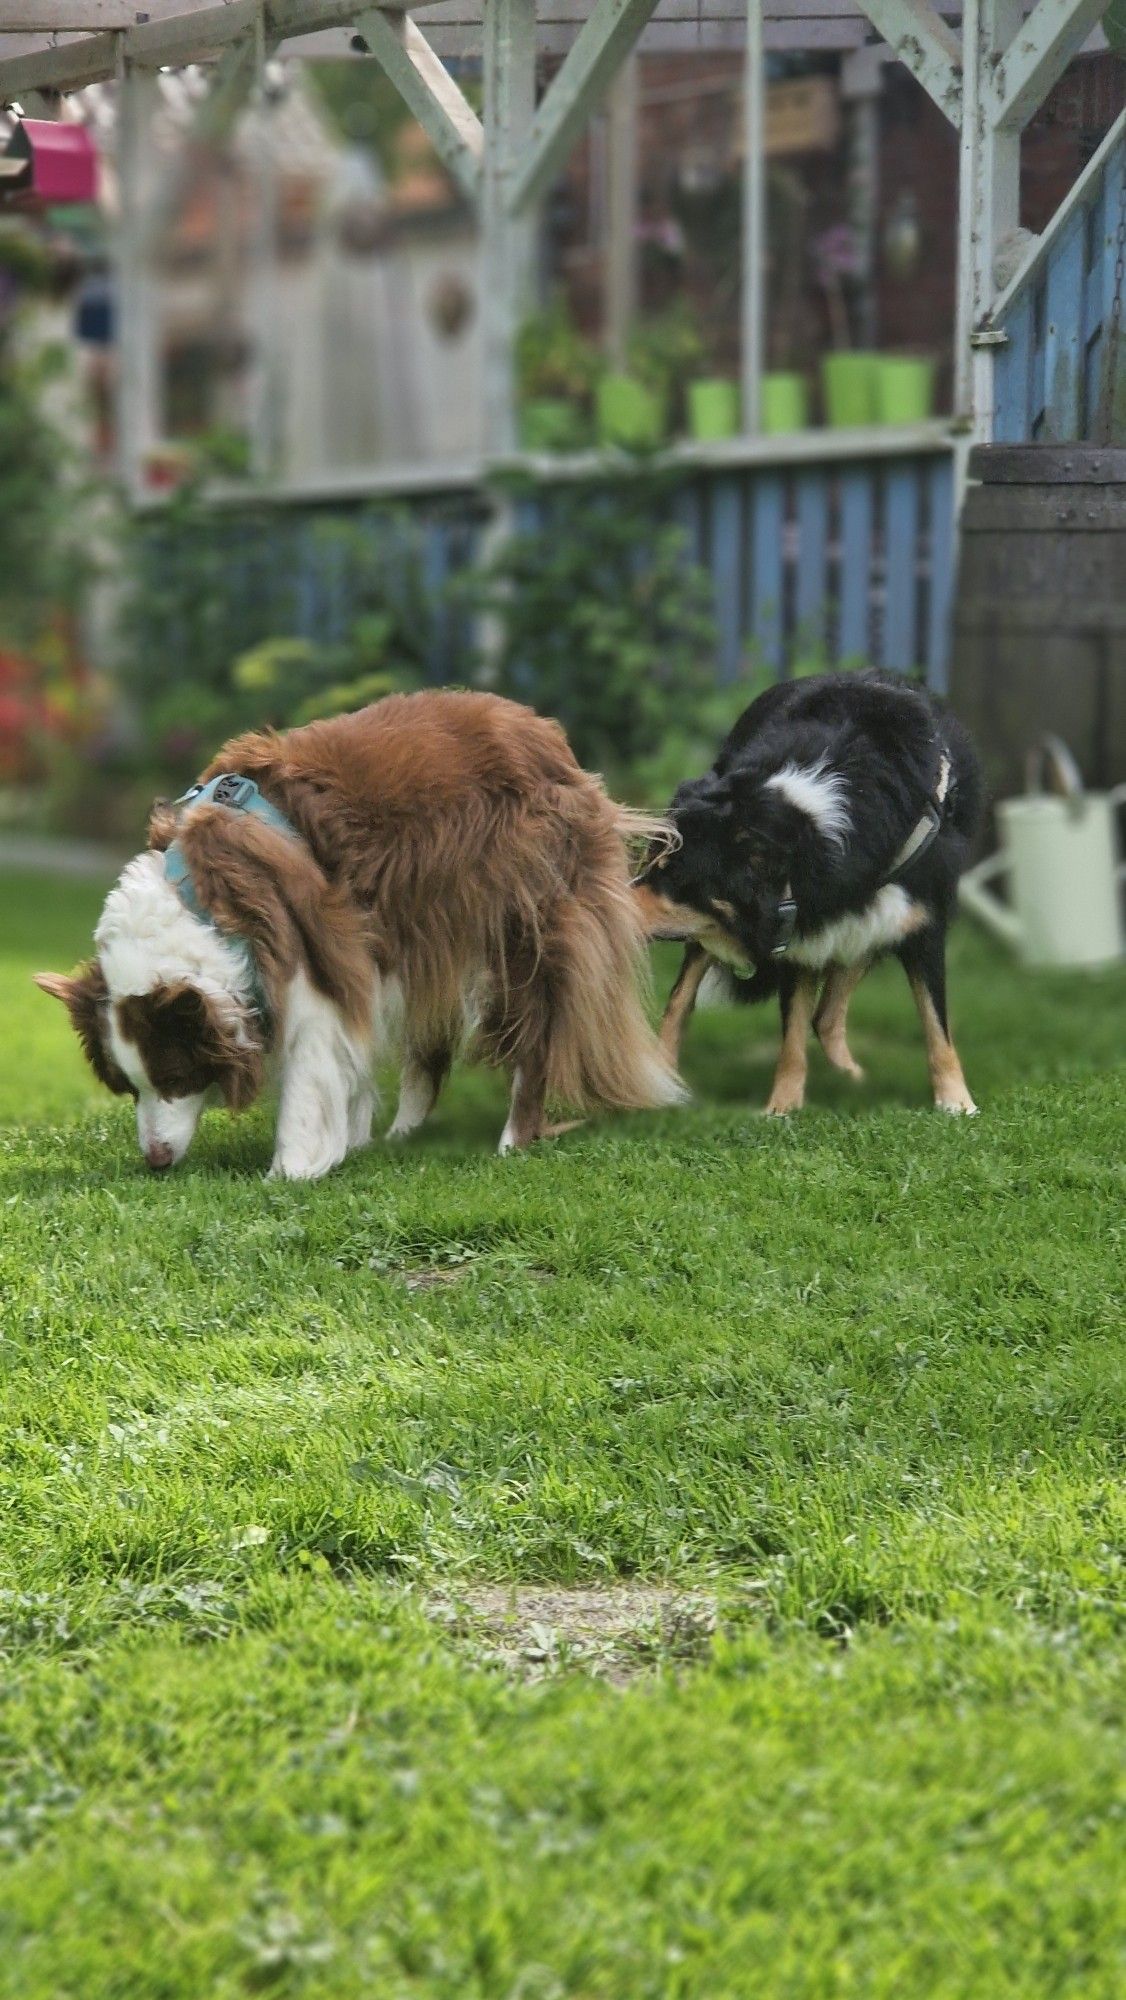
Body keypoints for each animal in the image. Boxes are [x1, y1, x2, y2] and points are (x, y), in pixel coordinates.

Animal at [640, 668, 984, 1112]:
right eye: (649, 863)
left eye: (674, 876)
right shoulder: (797, 930)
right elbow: (792, 1034)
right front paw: (782, 1108)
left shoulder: (918, 923)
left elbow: (936, 1024)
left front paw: (958, 1103)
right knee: (681, 998)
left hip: (869, 921)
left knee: (829, 1012)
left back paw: (852, 1079)